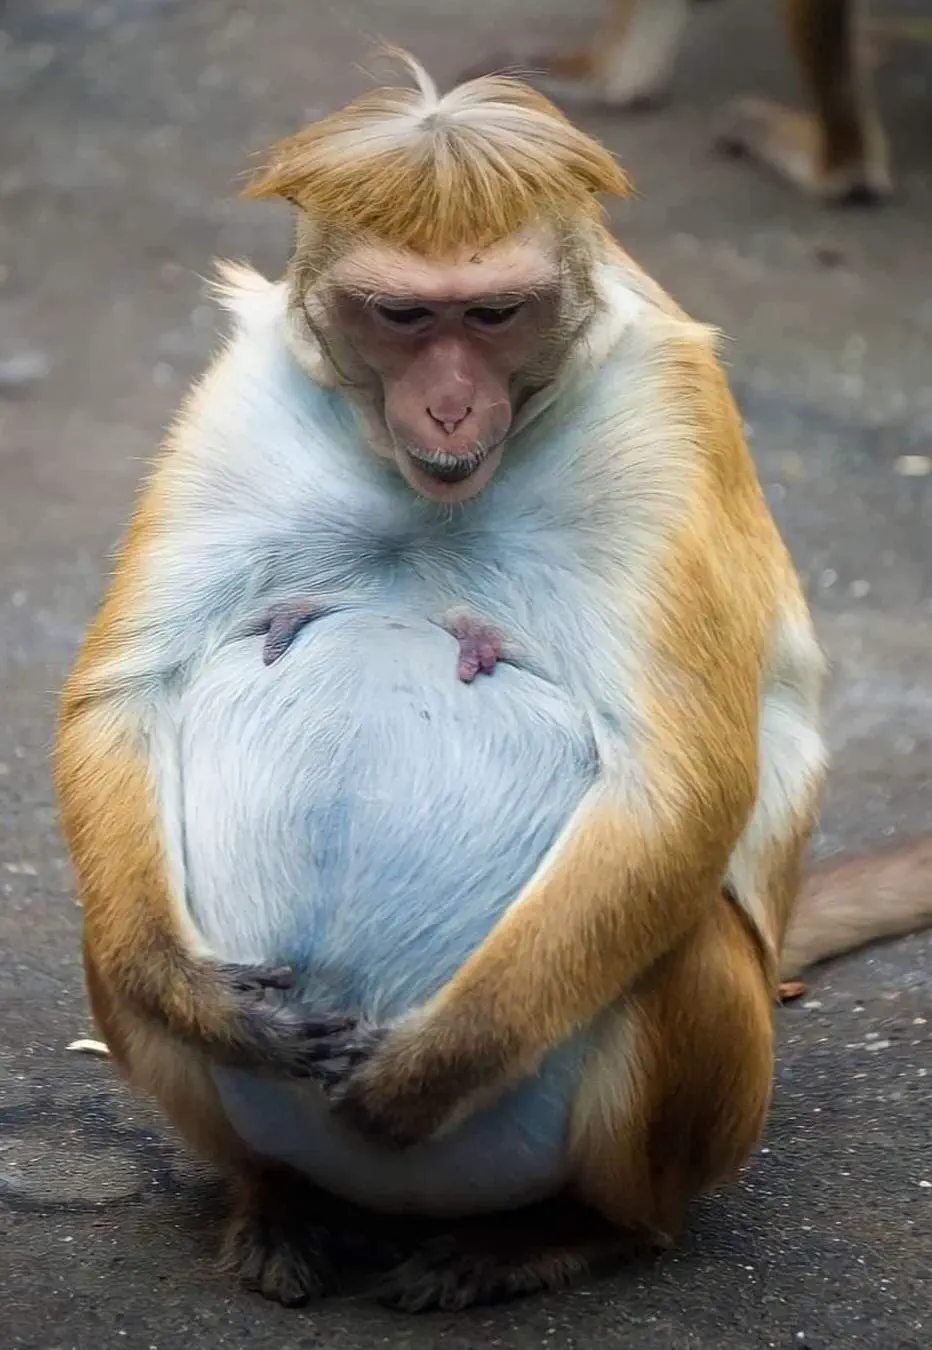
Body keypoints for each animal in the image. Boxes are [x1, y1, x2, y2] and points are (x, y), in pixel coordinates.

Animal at [54, 57, 931, 1313]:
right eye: (403, 317)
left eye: (493, 314)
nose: (449, 404)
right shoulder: (244, 400)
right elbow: (123, 695)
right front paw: (189, 996)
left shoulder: (663, 424)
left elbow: (679, 787)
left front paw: (431, 1070)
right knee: (115, 933)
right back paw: (276, 1196)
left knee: (675, 957)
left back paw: (569, 1234)